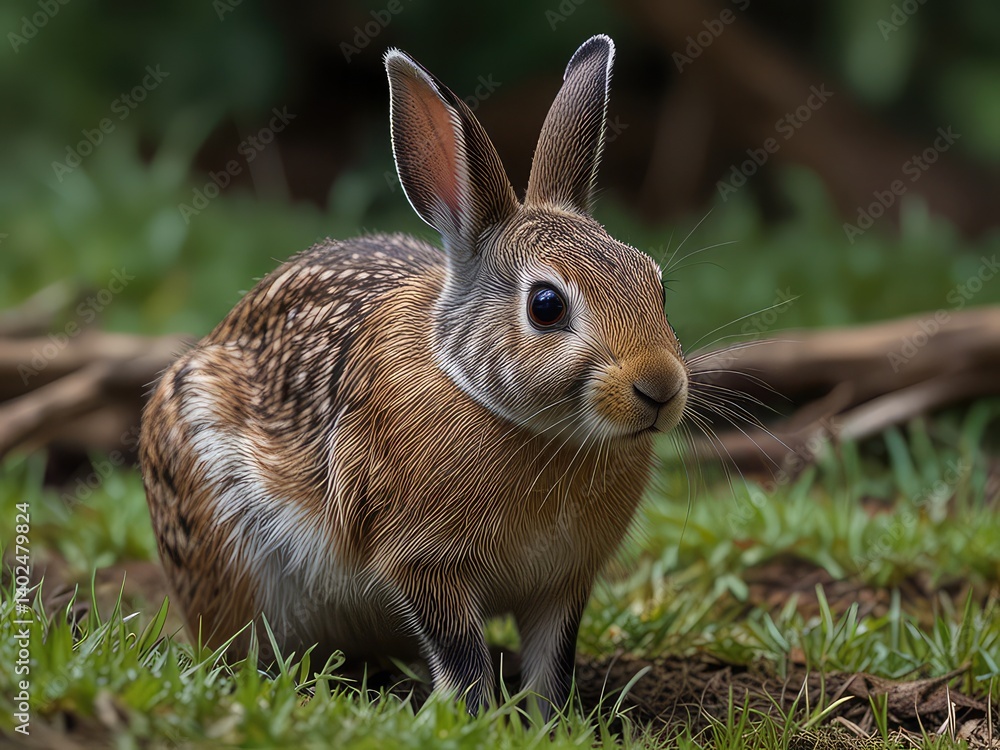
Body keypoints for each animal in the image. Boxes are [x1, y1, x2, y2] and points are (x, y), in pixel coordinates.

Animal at [140, 34, 688, 716]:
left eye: (657, 286)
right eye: (546, 305)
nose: (660, 389)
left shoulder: (562, 583)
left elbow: (551, 662)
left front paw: (550, 721)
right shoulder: (422, 566)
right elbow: (460, 655)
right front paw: (475, 718)